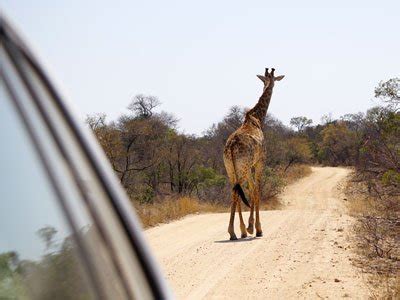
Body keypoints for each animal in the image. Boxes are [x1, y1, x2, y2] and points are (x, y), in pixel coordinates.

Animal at [222, 67, 284, 240]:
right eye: (273, 80)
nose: (270, 86)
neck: (257, 117)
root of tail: (231, 147)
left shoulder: (250, 166)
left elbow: (251, 190)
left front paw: (249, 228)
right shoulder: (260, 161)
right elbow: (256, 190)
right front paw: (256, 228)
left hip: (231, 169)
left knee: (234, 191)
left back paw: (237, 232)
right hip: (242, 168)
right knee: (238, 191)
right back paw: (237, 231)